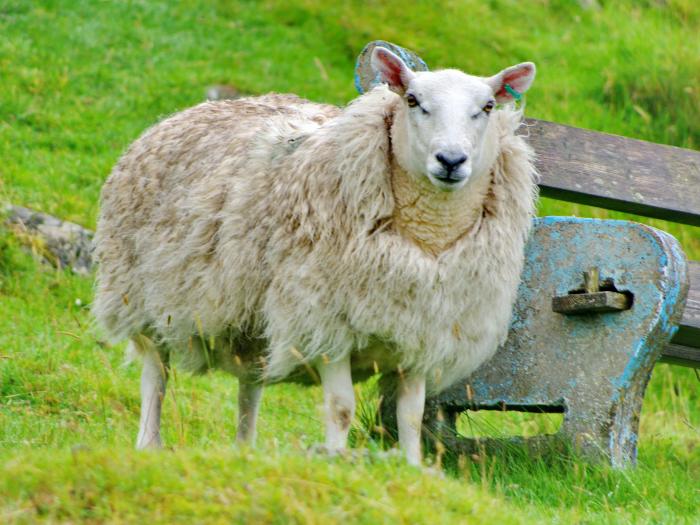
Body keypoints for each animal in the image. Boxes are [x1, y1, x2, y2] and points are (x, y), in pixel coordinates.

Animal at [93, 47, 537, 466]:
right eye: (412, 100)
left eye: (488, 107)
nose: (451, 161)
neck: (429, 238)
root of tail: (184, 113)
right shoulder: (326, 323)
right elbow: (341, 408)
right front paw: (336, 461)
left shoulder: (422, 335)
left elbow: (410, 416)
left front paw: (412, 469)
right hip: (144, 296)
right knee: (156, 374)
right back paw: (149, 443)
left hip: (252, 317)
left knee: (250, 384)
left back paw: (244, 449)